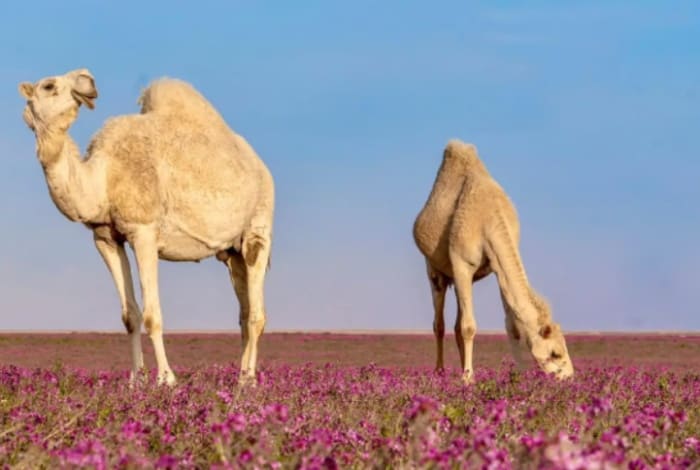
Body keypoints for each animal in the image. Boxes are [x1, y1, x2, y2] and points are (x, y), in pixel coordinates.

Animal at [18, 69, 274, 386]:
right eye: (49, 85)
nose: (87, 79)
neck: (103, 177)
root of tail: (260, 165)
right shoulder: (105, 236)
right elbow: (130, 316)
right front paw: (135, 380)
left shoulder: (144, 231)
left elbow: (153, 315)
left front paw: (165, 379)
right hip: (231, 251)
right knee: (244, 309)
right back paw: (240, 375)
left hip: (258, 228)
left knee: (256, 313)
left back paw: (248, 380)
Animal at [413, 140, 573, 383]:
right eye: (555, 353)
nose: (570, 378)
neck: (490, 217)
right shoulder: (462, 264)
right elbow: (469, 326)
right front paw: (468, 379)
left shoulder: (496, 268)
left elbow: (509, 323)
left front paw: (470, 375)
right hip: (434, 269)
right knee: (439, 323)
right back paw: (440, 372)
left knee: (456, 324)